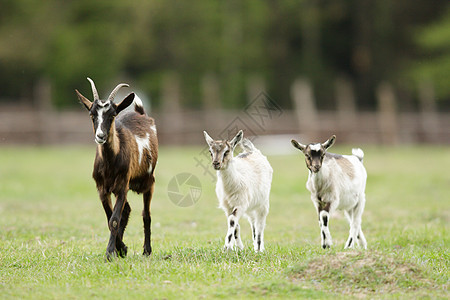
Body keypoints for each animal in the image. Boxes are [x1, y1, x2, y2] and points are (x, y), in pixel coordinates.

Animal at [74, 77, 157, 260]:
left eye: (112, 115)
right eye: (92, 115)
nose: (100, 136)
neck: (109, 165)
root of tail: (141, 114)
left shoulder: (122, 186)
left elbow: (114, 219)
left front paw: (110, 252)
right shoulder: (102, 189)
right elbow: (110, 218)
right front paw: (121, 249)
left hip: (148, 182)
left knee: (146, 214)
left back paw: (147, 250)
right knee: (127, 211)